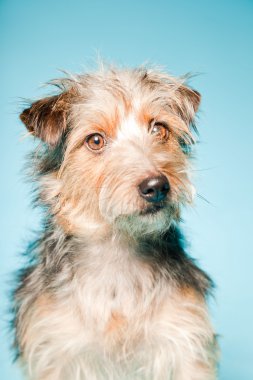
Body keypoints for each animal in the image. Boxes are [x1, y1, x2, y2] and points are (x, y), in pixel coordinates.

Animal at [13, 66, 218, 380]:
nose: (157, 186)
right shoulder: (56, 350)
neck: (118, 252)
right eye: (95, 140)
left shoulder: (185, 342)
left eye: (159, 129)